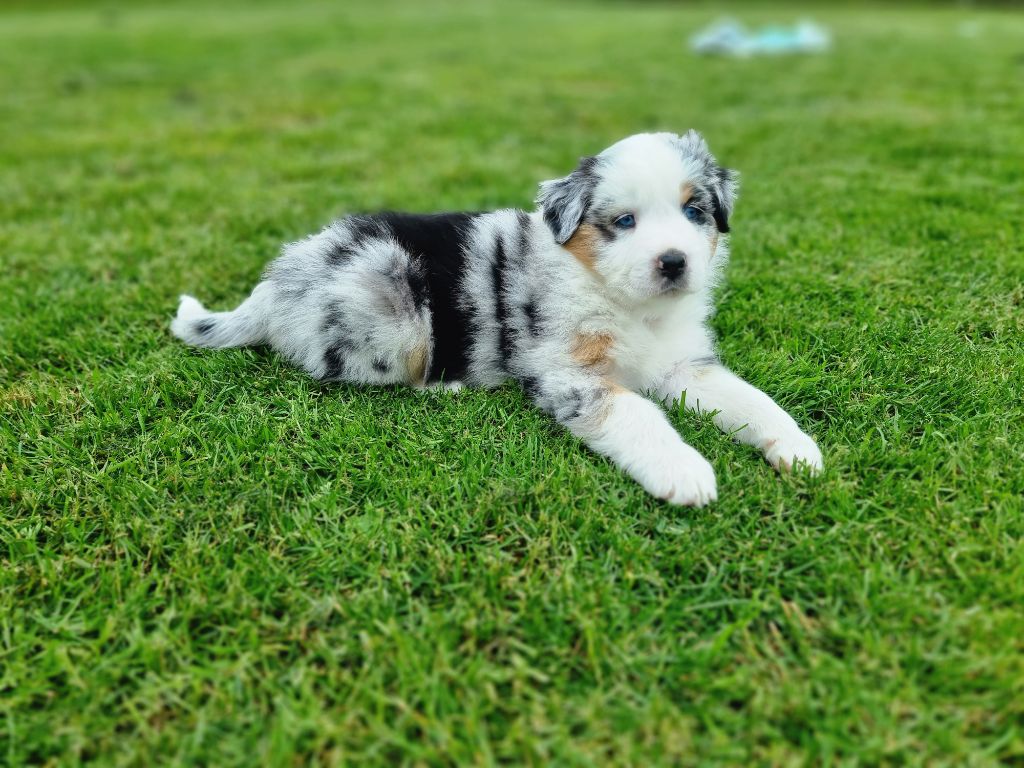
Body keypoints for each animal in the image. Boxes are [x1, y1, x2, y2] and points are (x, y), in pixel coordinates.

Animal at [171, 131, 822, 505]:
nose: (673, 262)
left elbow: (749, 399)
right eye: (624, 221)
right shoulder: (570, 374)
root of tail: (273, 288)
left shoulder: (685, 365)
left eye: (694, 211)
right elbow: (637, 414)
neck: (629, 305)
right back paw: (450, 385)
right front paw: (684, 471)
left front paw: (797, 448)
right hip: (390, 300)